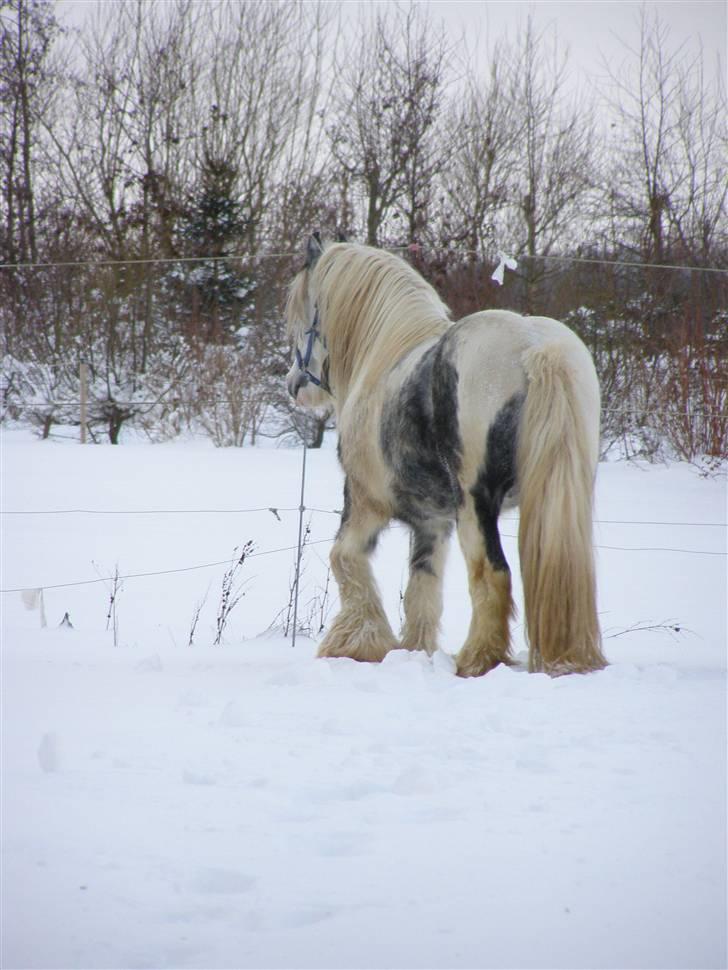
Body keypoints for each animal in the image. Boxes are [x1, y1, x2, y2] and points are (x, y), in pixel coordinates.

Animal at [288, 233, 604, 672]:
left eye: (304, 314)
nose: (294, 385)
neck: (384, 355)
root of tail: (535, 347)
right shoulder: (431, 523)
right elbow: (423, 588)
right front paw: (411, 651)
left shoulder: (365, 503)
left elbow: (344, 558)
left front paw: (356, 643)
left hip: (476, 506)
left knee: (492, 574)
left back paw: (475, 660)